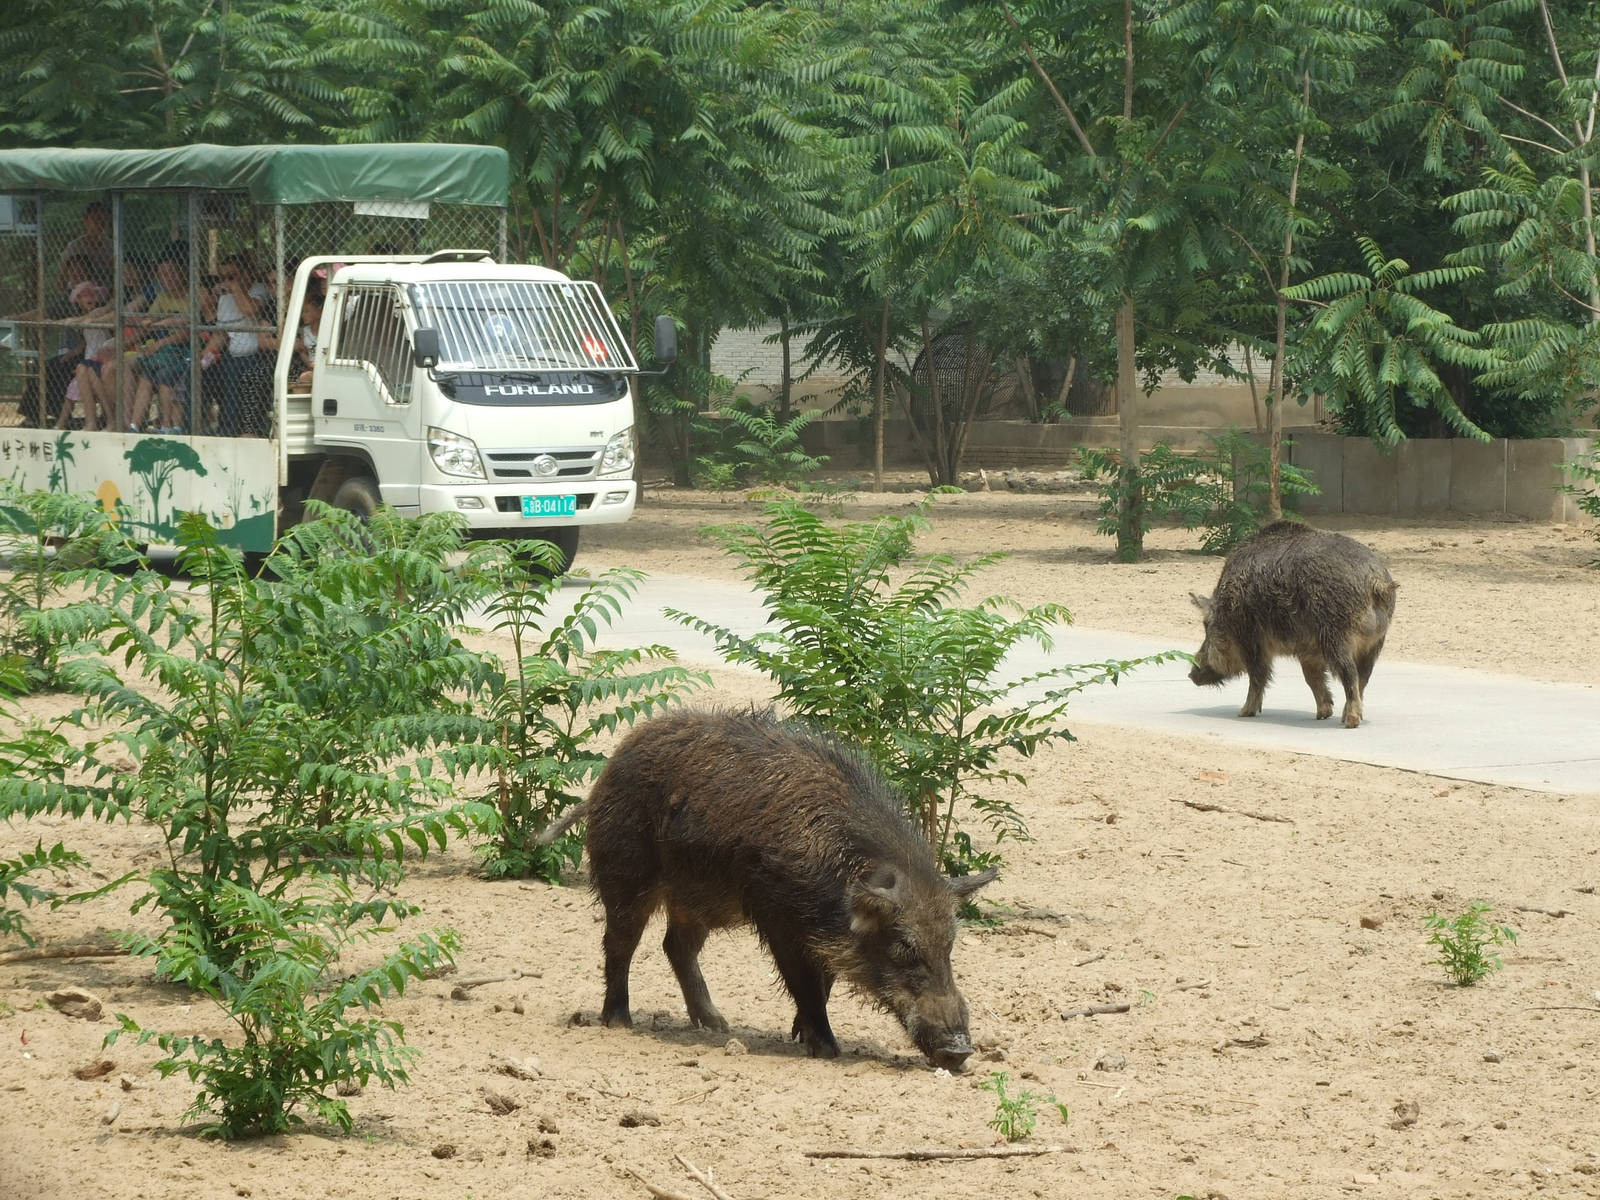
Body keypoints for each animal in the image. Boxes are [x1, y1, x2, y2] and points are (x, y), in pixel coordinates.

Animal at [559, 709, 995, 1069]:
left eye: (949, 946)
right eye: (903, 947)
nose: (959, 1051)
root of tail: (611, 765)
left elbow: (825, 981)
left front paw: (799, 1035)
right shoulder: (779, 920)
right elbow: (806, 982)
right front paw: (826, 1049)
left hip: (699, 899)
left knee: (676, 946)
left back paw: (716, 1024)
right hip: (624, 872)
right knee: (620, 943)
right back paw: (620, 1021)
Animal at [1188, 521, 1398, 728]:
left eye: (1206, 625)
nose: (1191, 674)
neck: (1228, 609)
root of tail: (1375, 581)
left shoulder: (1251, 640)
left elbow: (1258, 675)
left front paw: (1243, 713)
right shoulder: (1309, 649)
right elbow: (1311, 676)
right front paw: (1323, 714)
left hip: (1338, 637)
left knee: (1350, 673)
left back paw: (1351, 722)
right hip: (1375, 642)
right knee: (1363, 677)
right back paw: (1346, 717)